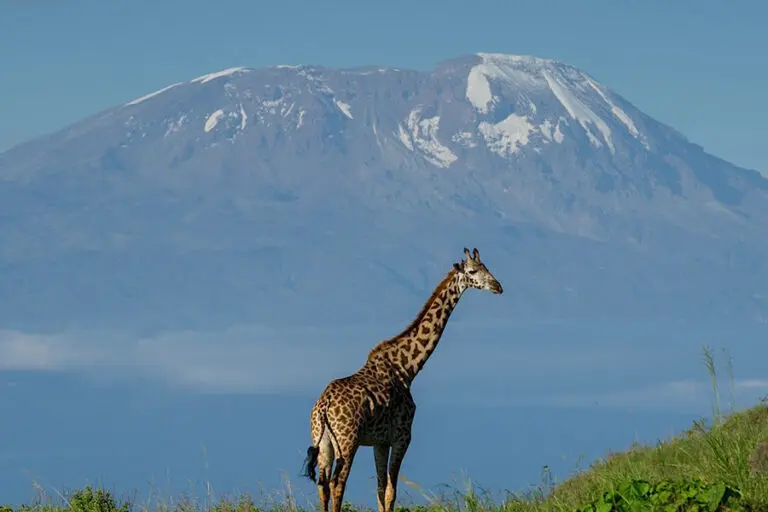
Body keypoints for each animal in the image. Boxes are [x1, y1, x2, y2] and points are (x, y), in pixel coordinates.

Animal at [301, 247, 503, 512]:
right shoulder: (402, 436)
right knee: (337, 484)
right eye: (472, 271)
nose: (498, 286)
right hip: (347, 440)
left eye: (486, 267)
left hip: (323, 441)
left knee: (322, 486)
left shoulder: (380, 442)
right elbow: (391, 491)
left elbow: (379, 490)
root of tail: (323, 407)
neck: (406, 369)